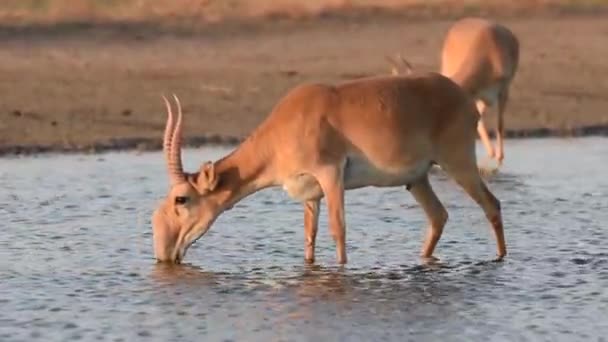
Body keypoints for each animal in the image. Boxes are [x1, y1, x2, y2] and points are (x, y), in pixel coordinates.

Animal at [150, 71, 506, 264]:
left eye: (181, 199)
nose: (163, 253)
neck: (285, 126)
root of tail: (464, 98)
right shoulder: (311, 194)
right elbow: (310, 235)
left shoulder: (330, 174)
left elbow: (339, 229)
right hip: (417, 179)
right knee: (438, 216)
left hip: (457, 162)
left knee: (491, 204)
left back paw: (501, 259)